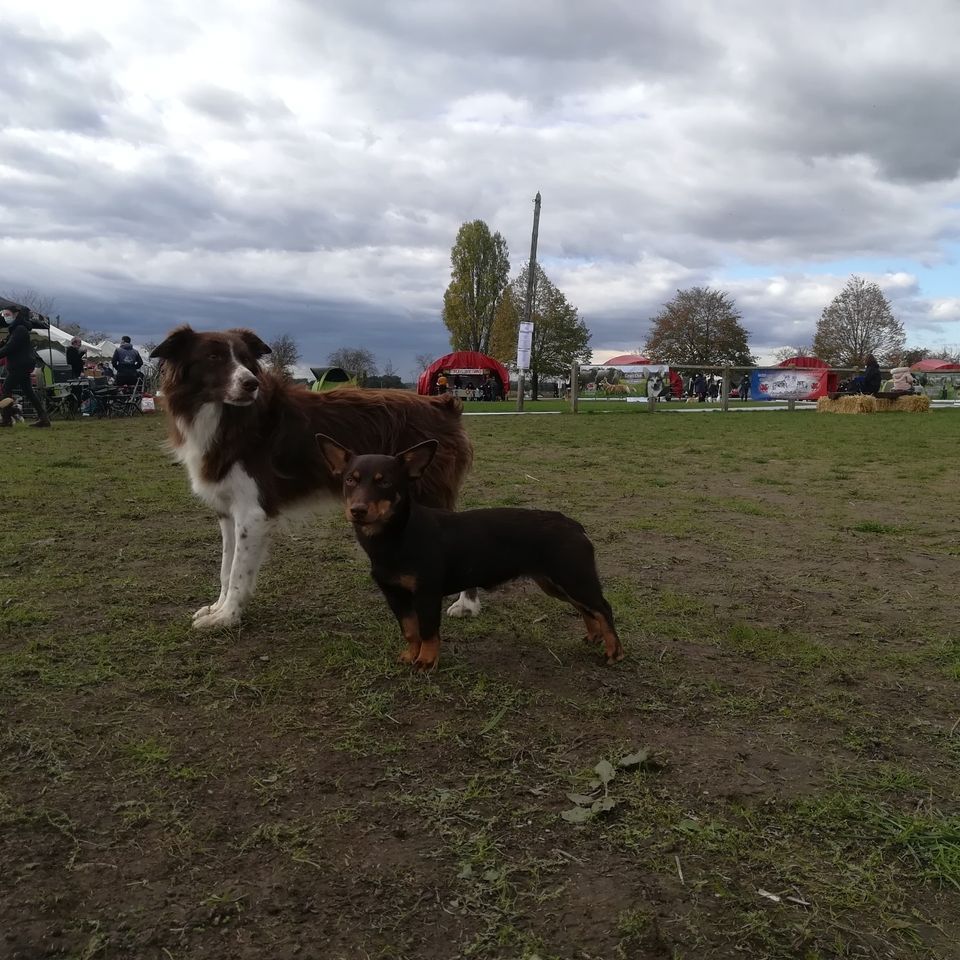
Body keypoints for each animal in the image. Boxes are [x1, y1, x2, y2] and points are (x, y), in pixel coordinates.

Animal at [318, 436, 628, 668]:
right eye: (350, 480)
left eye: (384, 482)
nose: (357, 510)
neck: (397, 536)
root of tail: (573, 524)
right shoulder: (395, 596)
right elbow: (410, 630)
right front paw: (410, 655)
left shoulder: (427, 594)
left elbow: (428, 631)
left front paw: (426, 661)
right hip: (556, 583)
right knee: (587, 609)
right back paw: (593, 638)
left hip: (573, 578)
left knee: (603, 607)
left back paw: (614, 651)